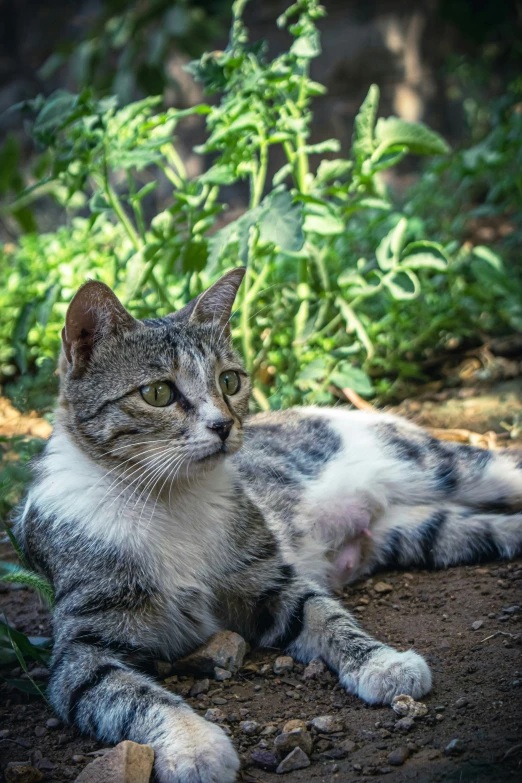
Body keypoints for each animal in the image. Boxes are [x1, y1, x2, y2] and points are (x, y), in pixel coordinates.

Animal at [13, 270, 520, 783]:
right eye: (157, 393)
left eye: (229, 380)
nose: (223, 425)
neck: (172, 499)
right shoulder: (81, 652)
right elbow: (130, 695)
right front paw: (194, 746)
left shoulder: (269, 579)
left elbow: (327, 616)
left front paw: (383, 661)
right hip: (419, 531)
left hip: (434, 465)